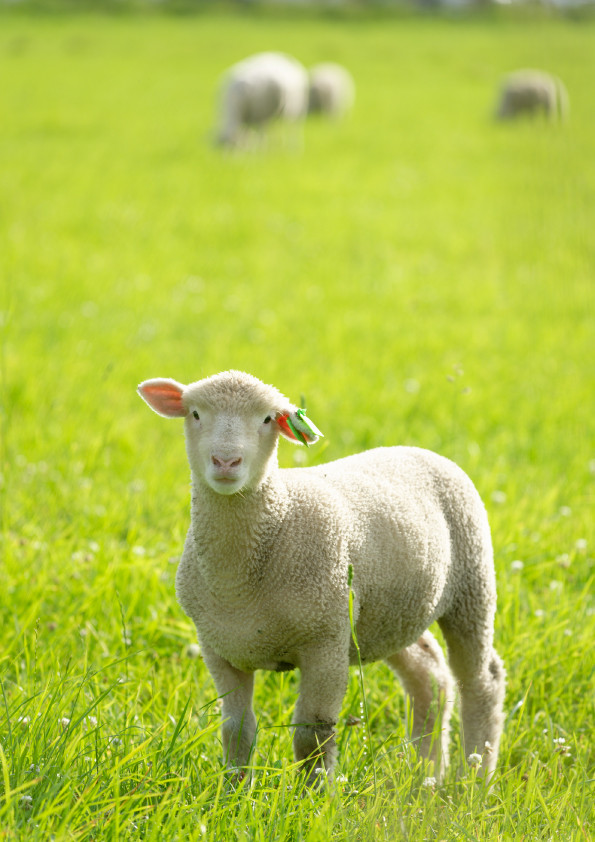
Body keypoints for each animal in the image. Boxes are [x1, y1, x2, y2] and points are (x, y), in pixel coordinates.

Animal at [137, 370, 506, 784]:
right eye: (196, 413)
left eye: (268, 419)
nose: (226, 461)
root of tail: (418, 450)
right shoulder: (220, 648)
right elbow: (236, 730)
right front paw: (233, 789)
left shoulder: (325, 642)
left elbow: (312, 735)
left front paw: (313, 793)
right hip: (387, 614)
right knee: (429, 675)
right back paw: (425, 775)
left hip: (472, 585)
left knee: (482, 681)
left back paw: (475, 777)